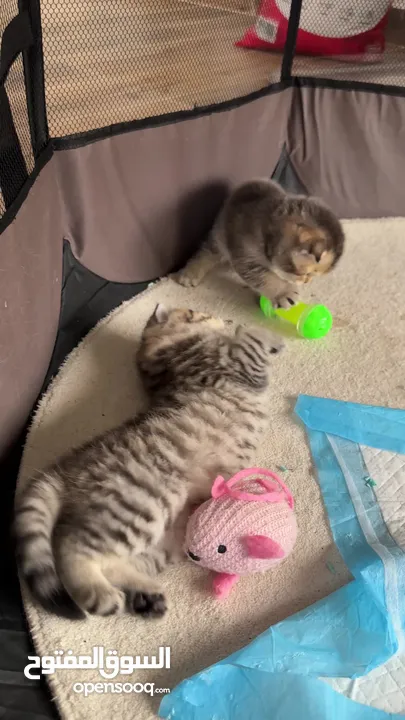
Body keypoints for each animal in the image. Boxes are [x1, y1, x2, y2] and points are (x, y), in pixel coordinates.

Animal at [14, 304, 282, 620]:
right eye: (196, 312)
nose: (223, 318)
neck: (165, 359)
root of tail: (66, 467)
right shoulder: (241, 363)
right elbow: (251, 338)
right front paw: (262, 331)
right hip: (141, 505)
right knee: (71, 545)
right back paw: (99, 594)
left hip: (170, 537)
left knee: (112, 562)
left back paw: (147, 595)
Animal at [175, 180, 342, 310]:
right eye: (306, 273)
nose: (307, 281)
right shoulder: (244, 255)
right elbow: (265, 277)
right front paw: (284, 293)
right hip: (220, 234)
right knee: (206, 253)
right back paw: (190, 273)